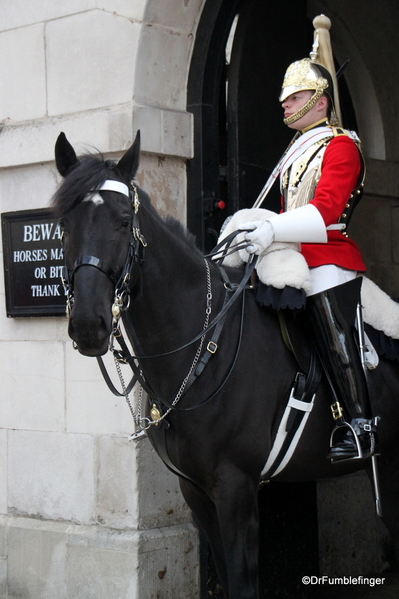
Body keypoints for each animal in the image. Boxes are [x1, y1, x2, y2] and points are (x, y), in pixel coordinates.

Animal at [51, 132, 399, 599]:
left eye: (124, 221)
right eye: (63, 223)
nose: (89, 325)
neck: (197, 353)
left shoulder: (236, 488)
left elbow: (244, 583)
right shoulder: (196, 490)